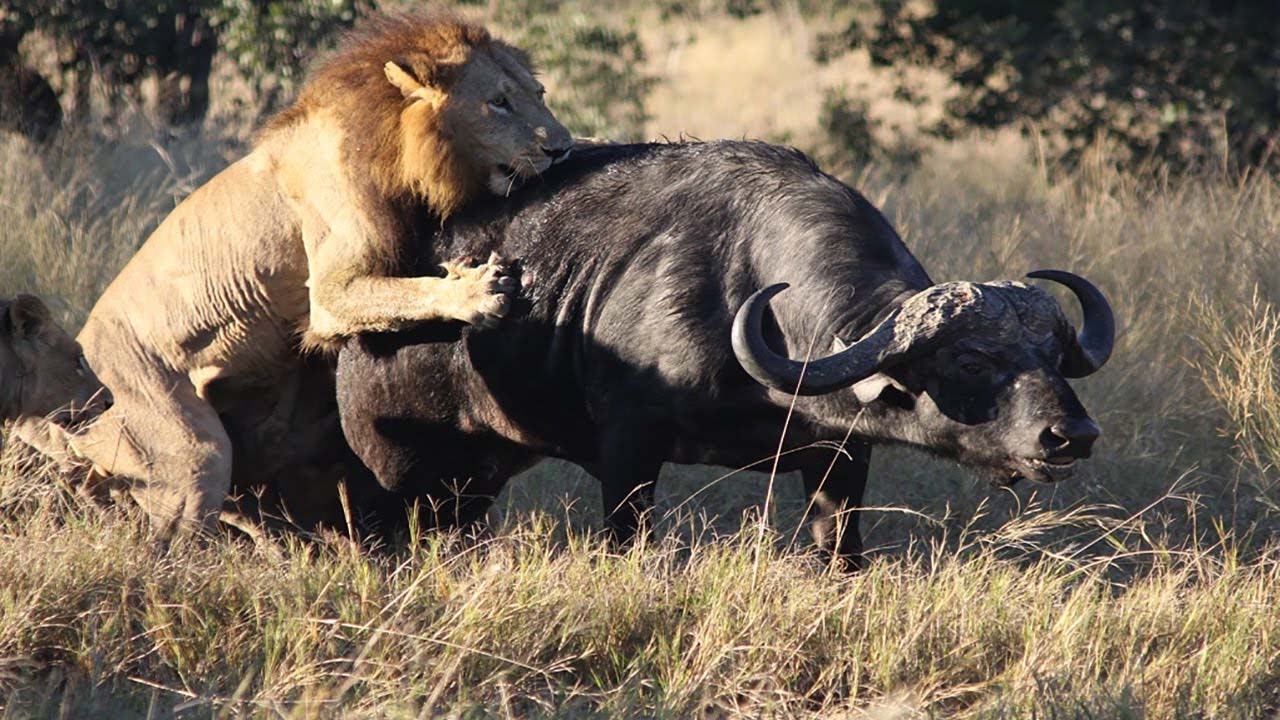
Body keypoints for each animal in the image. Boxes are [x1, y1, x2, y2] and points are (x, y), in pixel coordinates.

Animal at [41, 14, 570, 535]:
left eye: (539, 94)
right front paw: (476, 292)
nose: (563, 148)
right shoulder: (330, 291)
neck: (398, 148)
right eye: (498, 102)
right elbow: (407, 291)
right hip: (179, 440)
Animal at [335, 141, 1116, 566]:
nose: (1072, 435)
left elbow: (839, 550)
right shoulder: (629, 447)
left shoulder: (840, 459)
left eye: (1054, 356)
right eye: (972, 362)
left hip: (477, 477)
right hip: (392, 466)